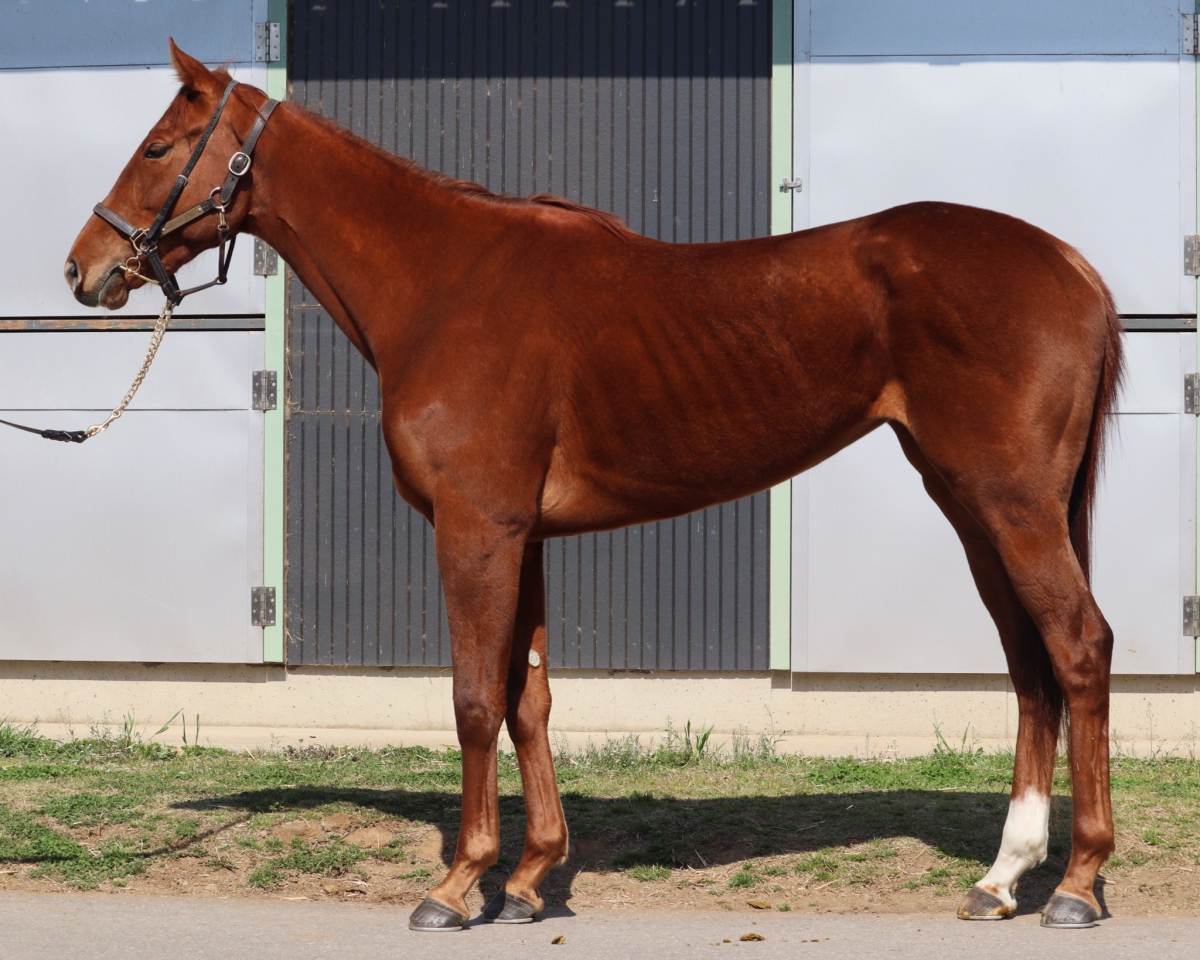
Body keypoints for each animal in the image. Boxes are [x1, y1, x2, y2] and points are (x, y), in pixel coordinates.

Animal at [66, 42, 1122, 932]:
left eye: (158, 146)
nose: (84, 267)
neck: (444, 283)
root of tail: (1071, 264)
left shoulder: (475, 529)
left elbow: (473, 699)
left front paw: (458, 884)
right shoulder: (524, 536)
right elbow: (528, 699)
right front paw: (532, 878)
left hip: (1011, 504)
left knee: (1077, 648)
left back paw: (1075, 883)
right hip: (971, 506)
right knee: (1029, 667)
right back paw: (1002, 878)